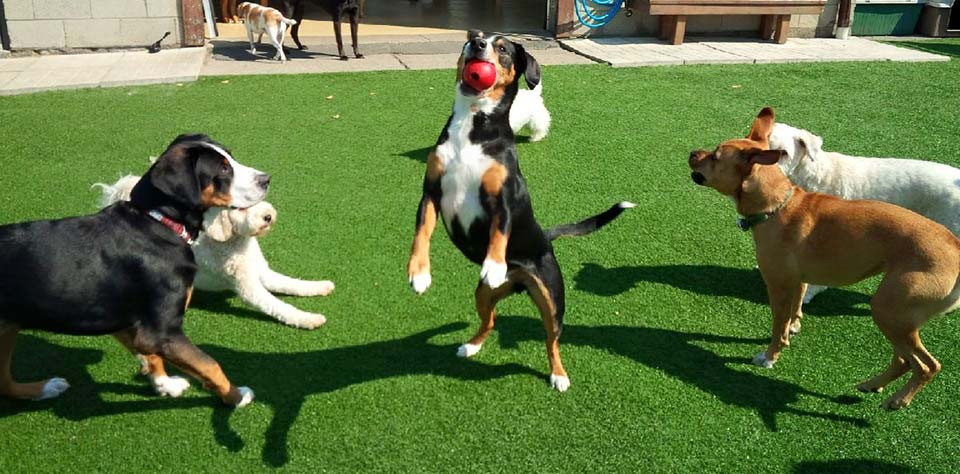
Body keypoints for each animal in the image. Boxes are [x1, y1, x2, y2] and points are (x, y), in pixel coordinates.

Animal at [0, 134, 270, 408]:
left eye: (231, 157)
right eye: (223, 169)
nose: (266, 179)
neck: (158, 223)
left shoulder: (128, 321)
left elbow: (151, 357)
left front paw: (166, 385)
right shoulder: (162, 332)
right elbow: (209, 364)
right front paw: (237, 396)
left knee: (4, 382)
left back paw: (43, 388)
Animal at [94, 174, 334, 330]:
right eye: (240, 209)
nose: (267, 216)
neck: (236, 244)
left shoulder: (262, 273)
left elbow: (291, 283)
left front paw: (320, 286)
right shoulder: (248, 287)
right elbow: (277, 306)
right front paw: (308, 319)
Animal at [406, 31, 636, 390]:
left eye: (502, 48)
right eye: (473, 37)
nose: (476, 43)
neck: (473, 128)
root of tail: (546, 238)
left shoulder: (503, 198)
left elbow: (500, 233)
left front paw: (494, 264)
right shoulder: (431, 192)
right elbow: (422, 233)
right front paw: (419, 274)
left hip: (552, 302)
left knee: (552, 340)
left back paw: (558, 375)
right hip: (483, 295)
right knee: (491, 320)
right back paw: (471, 346)